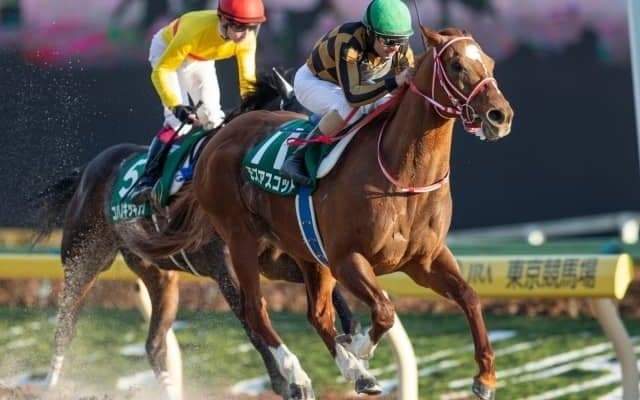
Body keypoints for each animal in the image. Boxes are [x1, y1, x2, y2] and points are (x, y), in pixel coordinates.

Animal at [30, 70, 358, 400]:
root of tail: (88, 169)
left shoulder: (274, 261)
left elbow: (331, 291)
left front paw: (354, 338)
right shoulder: (225, 268)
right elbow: (250, 320)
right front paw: (287, 382)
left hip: (160, 276)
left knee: (154, 345)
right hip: (84, 260)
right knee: (65, 327)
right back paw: (51, 383)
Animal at [133, 26, 514, 399]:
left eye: (491, 63)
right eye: (456, 65)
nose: (500, 116)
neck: (405, 175)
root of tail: (215, 139)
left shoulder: (424, 260)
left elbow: (469, 297)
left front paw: (485, 378)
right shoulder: (346, 258)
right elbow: (384, 310)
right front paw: (359, 347)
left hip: (305, 250)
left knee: (316, 314)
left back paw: (357, 374)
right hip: (240, 240)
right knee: (255, 311)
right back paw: (300, 377)